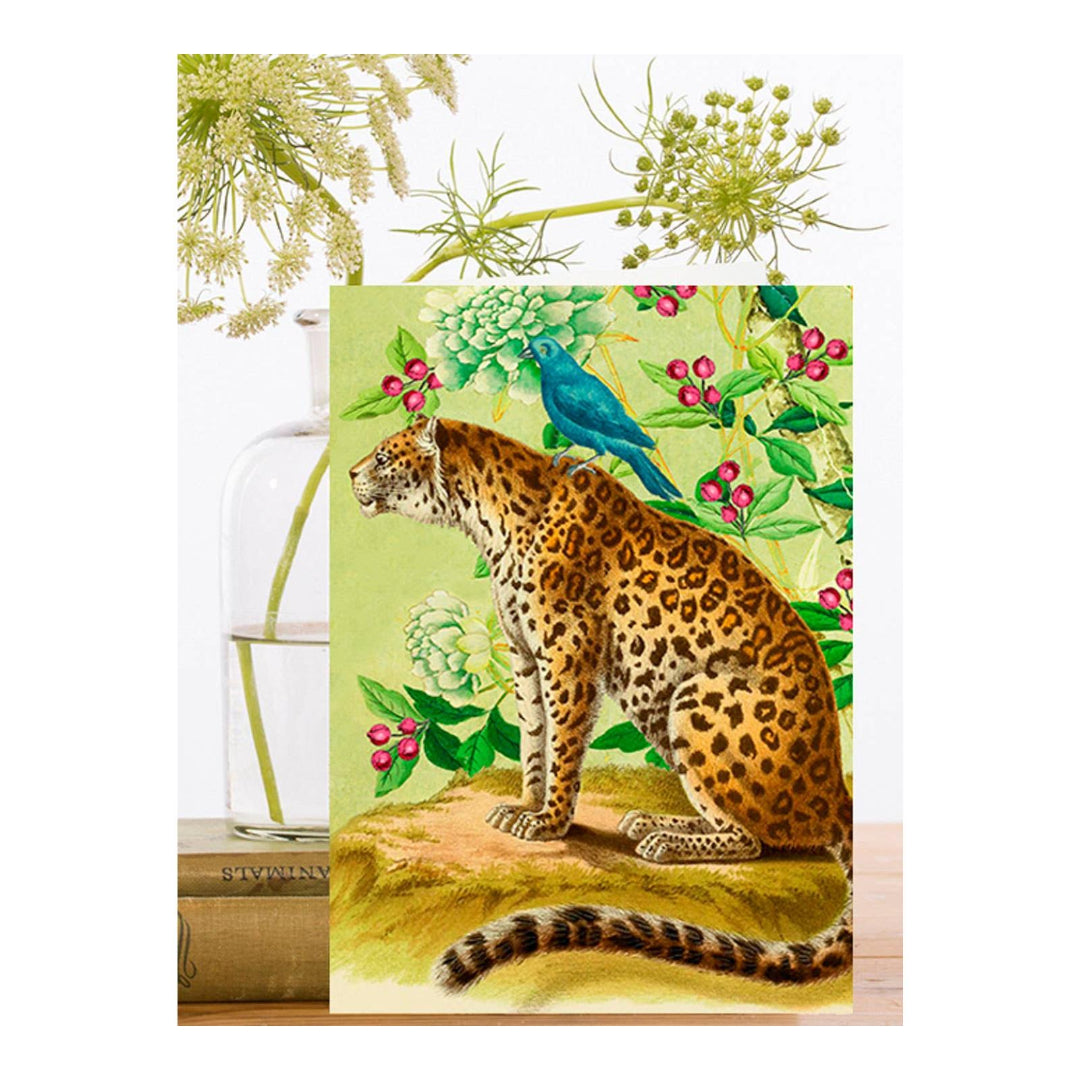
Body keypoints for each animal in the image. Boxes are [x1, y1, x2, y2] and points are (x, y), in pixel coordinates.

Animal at [349, 415, 853, 991]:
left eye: (384, 457)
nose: (351, 474)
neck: (490, 521)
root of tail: (837, 795)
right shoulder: (524, 656)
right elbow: (533, 739)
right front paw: (525, 806)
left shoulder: (567, 655)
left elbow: (564, 745)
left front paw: (549, 823)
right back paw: (652, 822)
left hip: (695, 697)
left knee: (754, 840)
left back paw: (665, 843)